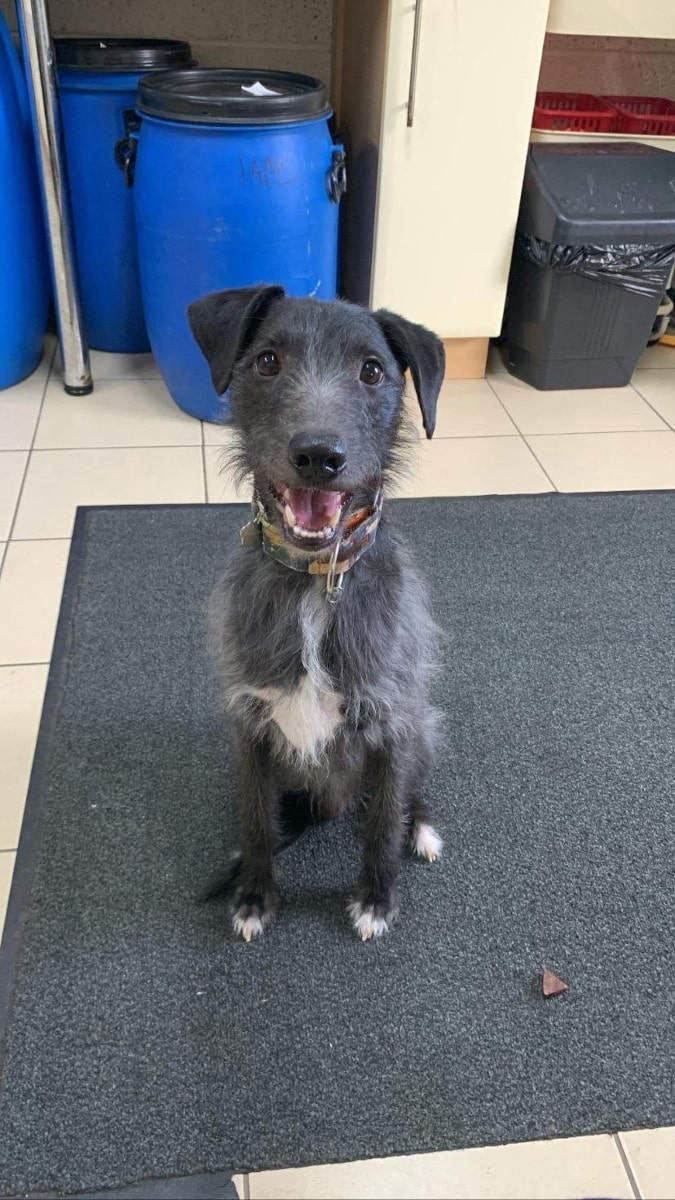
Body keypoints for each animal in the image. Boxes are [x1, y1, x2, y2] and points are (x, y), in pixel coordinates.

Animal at [186, 285, 444, 940]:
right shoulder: (251, 728)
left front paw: (376, 900)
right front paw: (255, 894)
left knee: (408, 793)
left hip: (422, 726)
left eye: (372, 371)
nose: (318, 455)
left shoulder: (391, 721)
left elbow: (381, 823)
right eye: (267, 362)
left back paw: (423, 826)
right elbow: (256, 821)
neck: (314, 584)